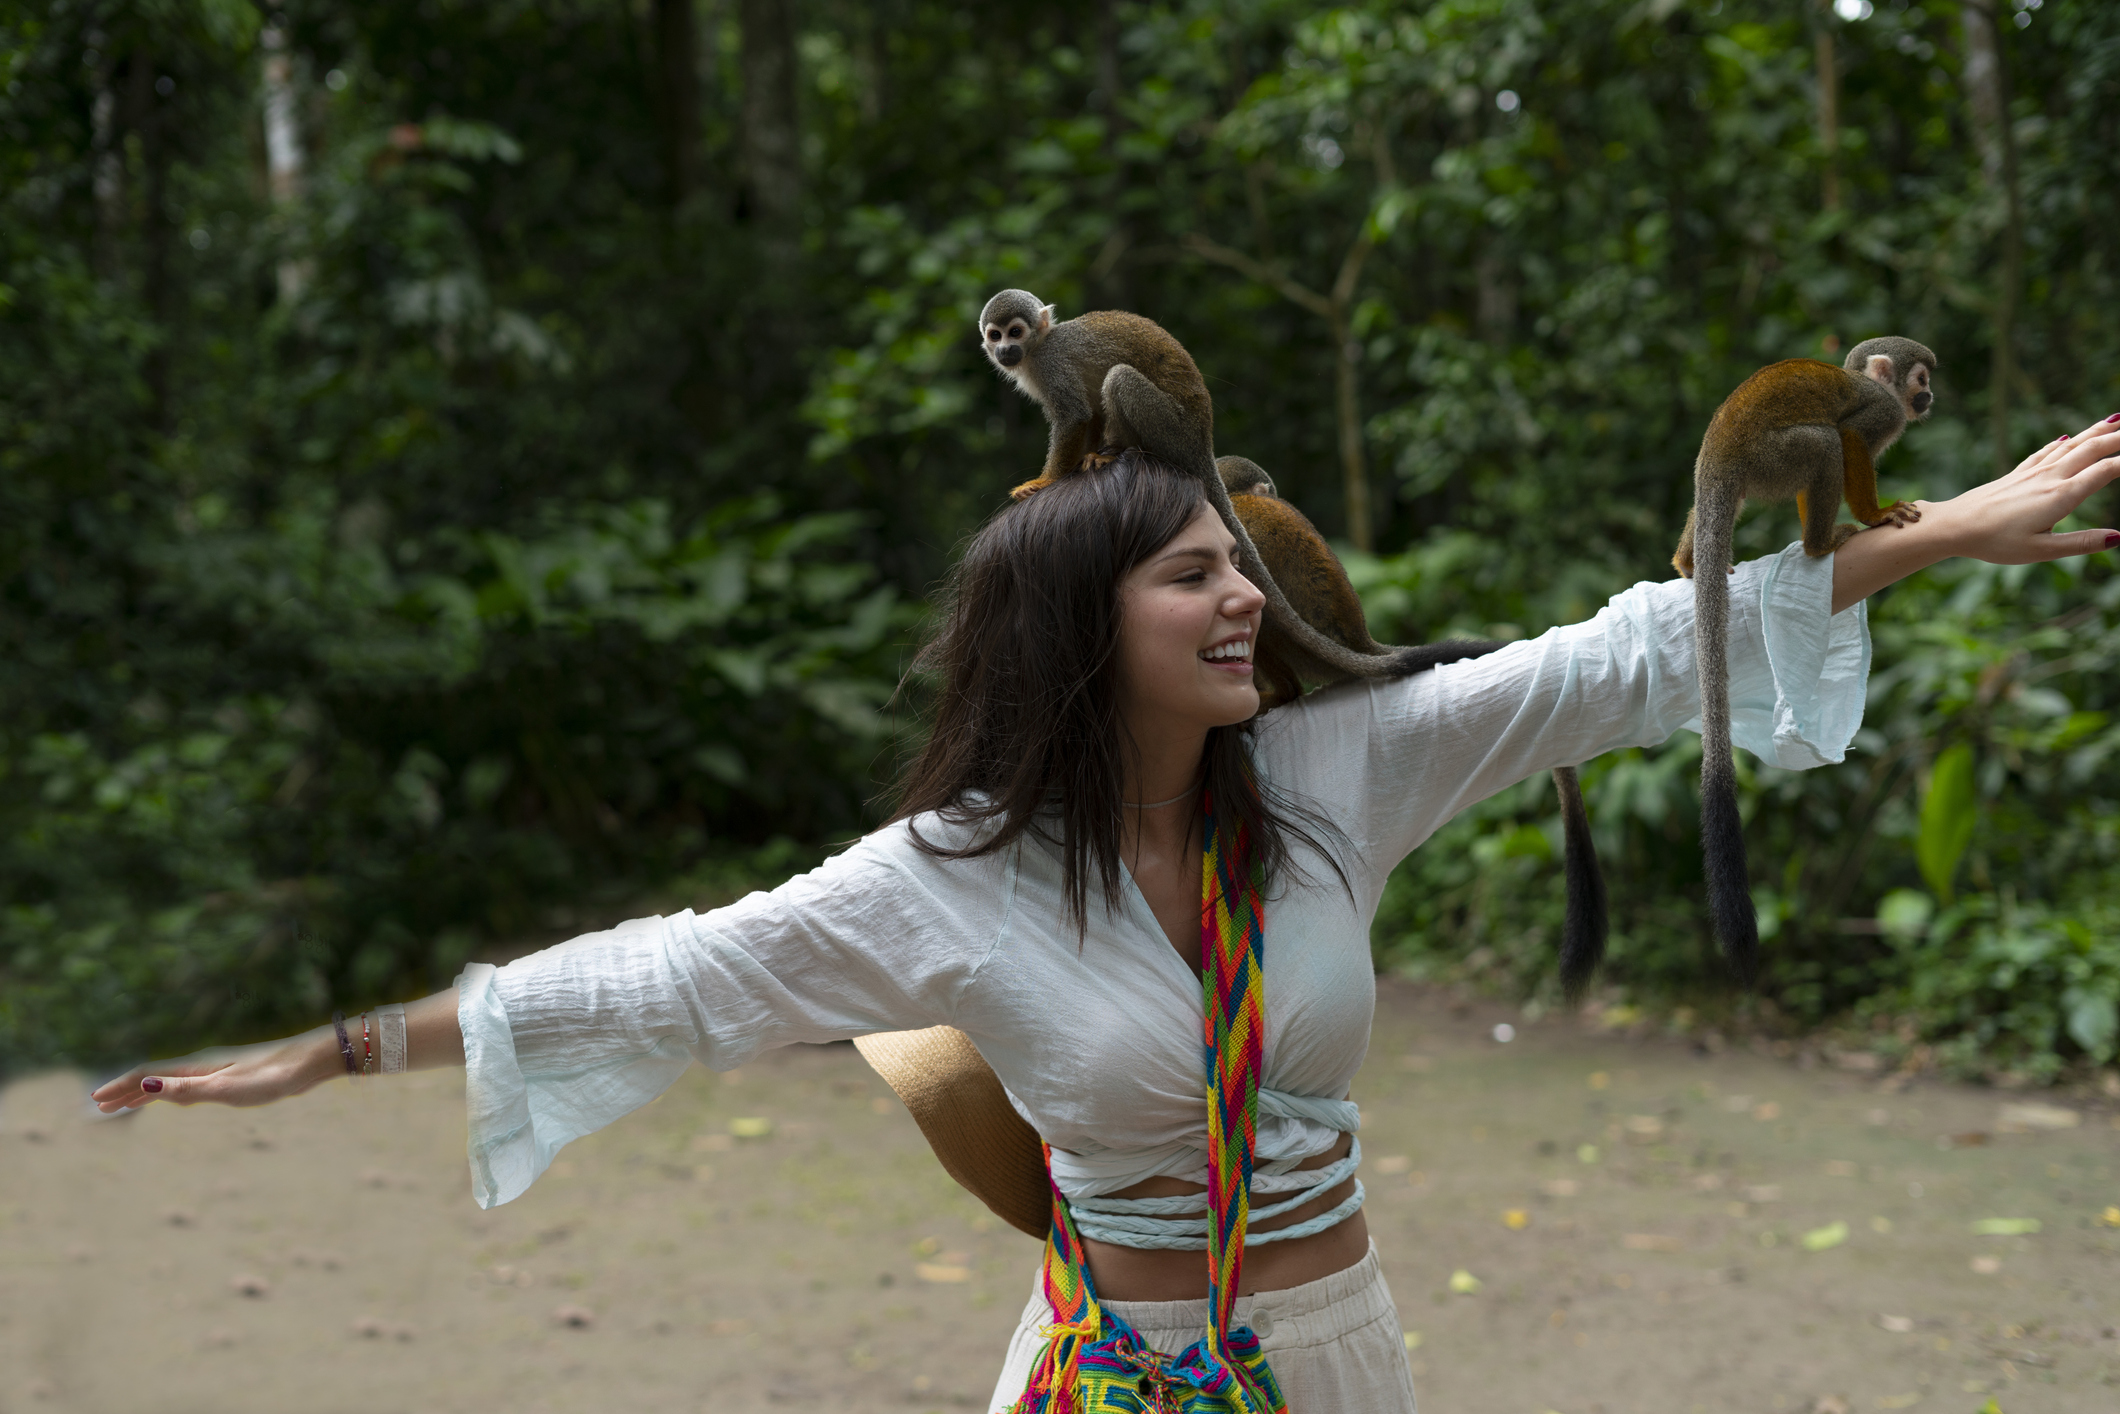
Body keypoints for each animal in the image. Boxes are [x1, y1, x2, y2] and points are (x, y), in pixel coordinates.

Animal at [1670, 337, 1941, 992]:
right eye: (1920, 379)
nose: (1929, 398)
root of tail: (1718, 458)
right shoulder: (1881, 412)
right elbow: (1849, 439)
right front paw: (1875, 515)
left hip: (1732, 475)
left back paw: (1688, 561)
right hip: (1771, 458)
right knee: (1820, 441)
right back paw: (1822, 543)